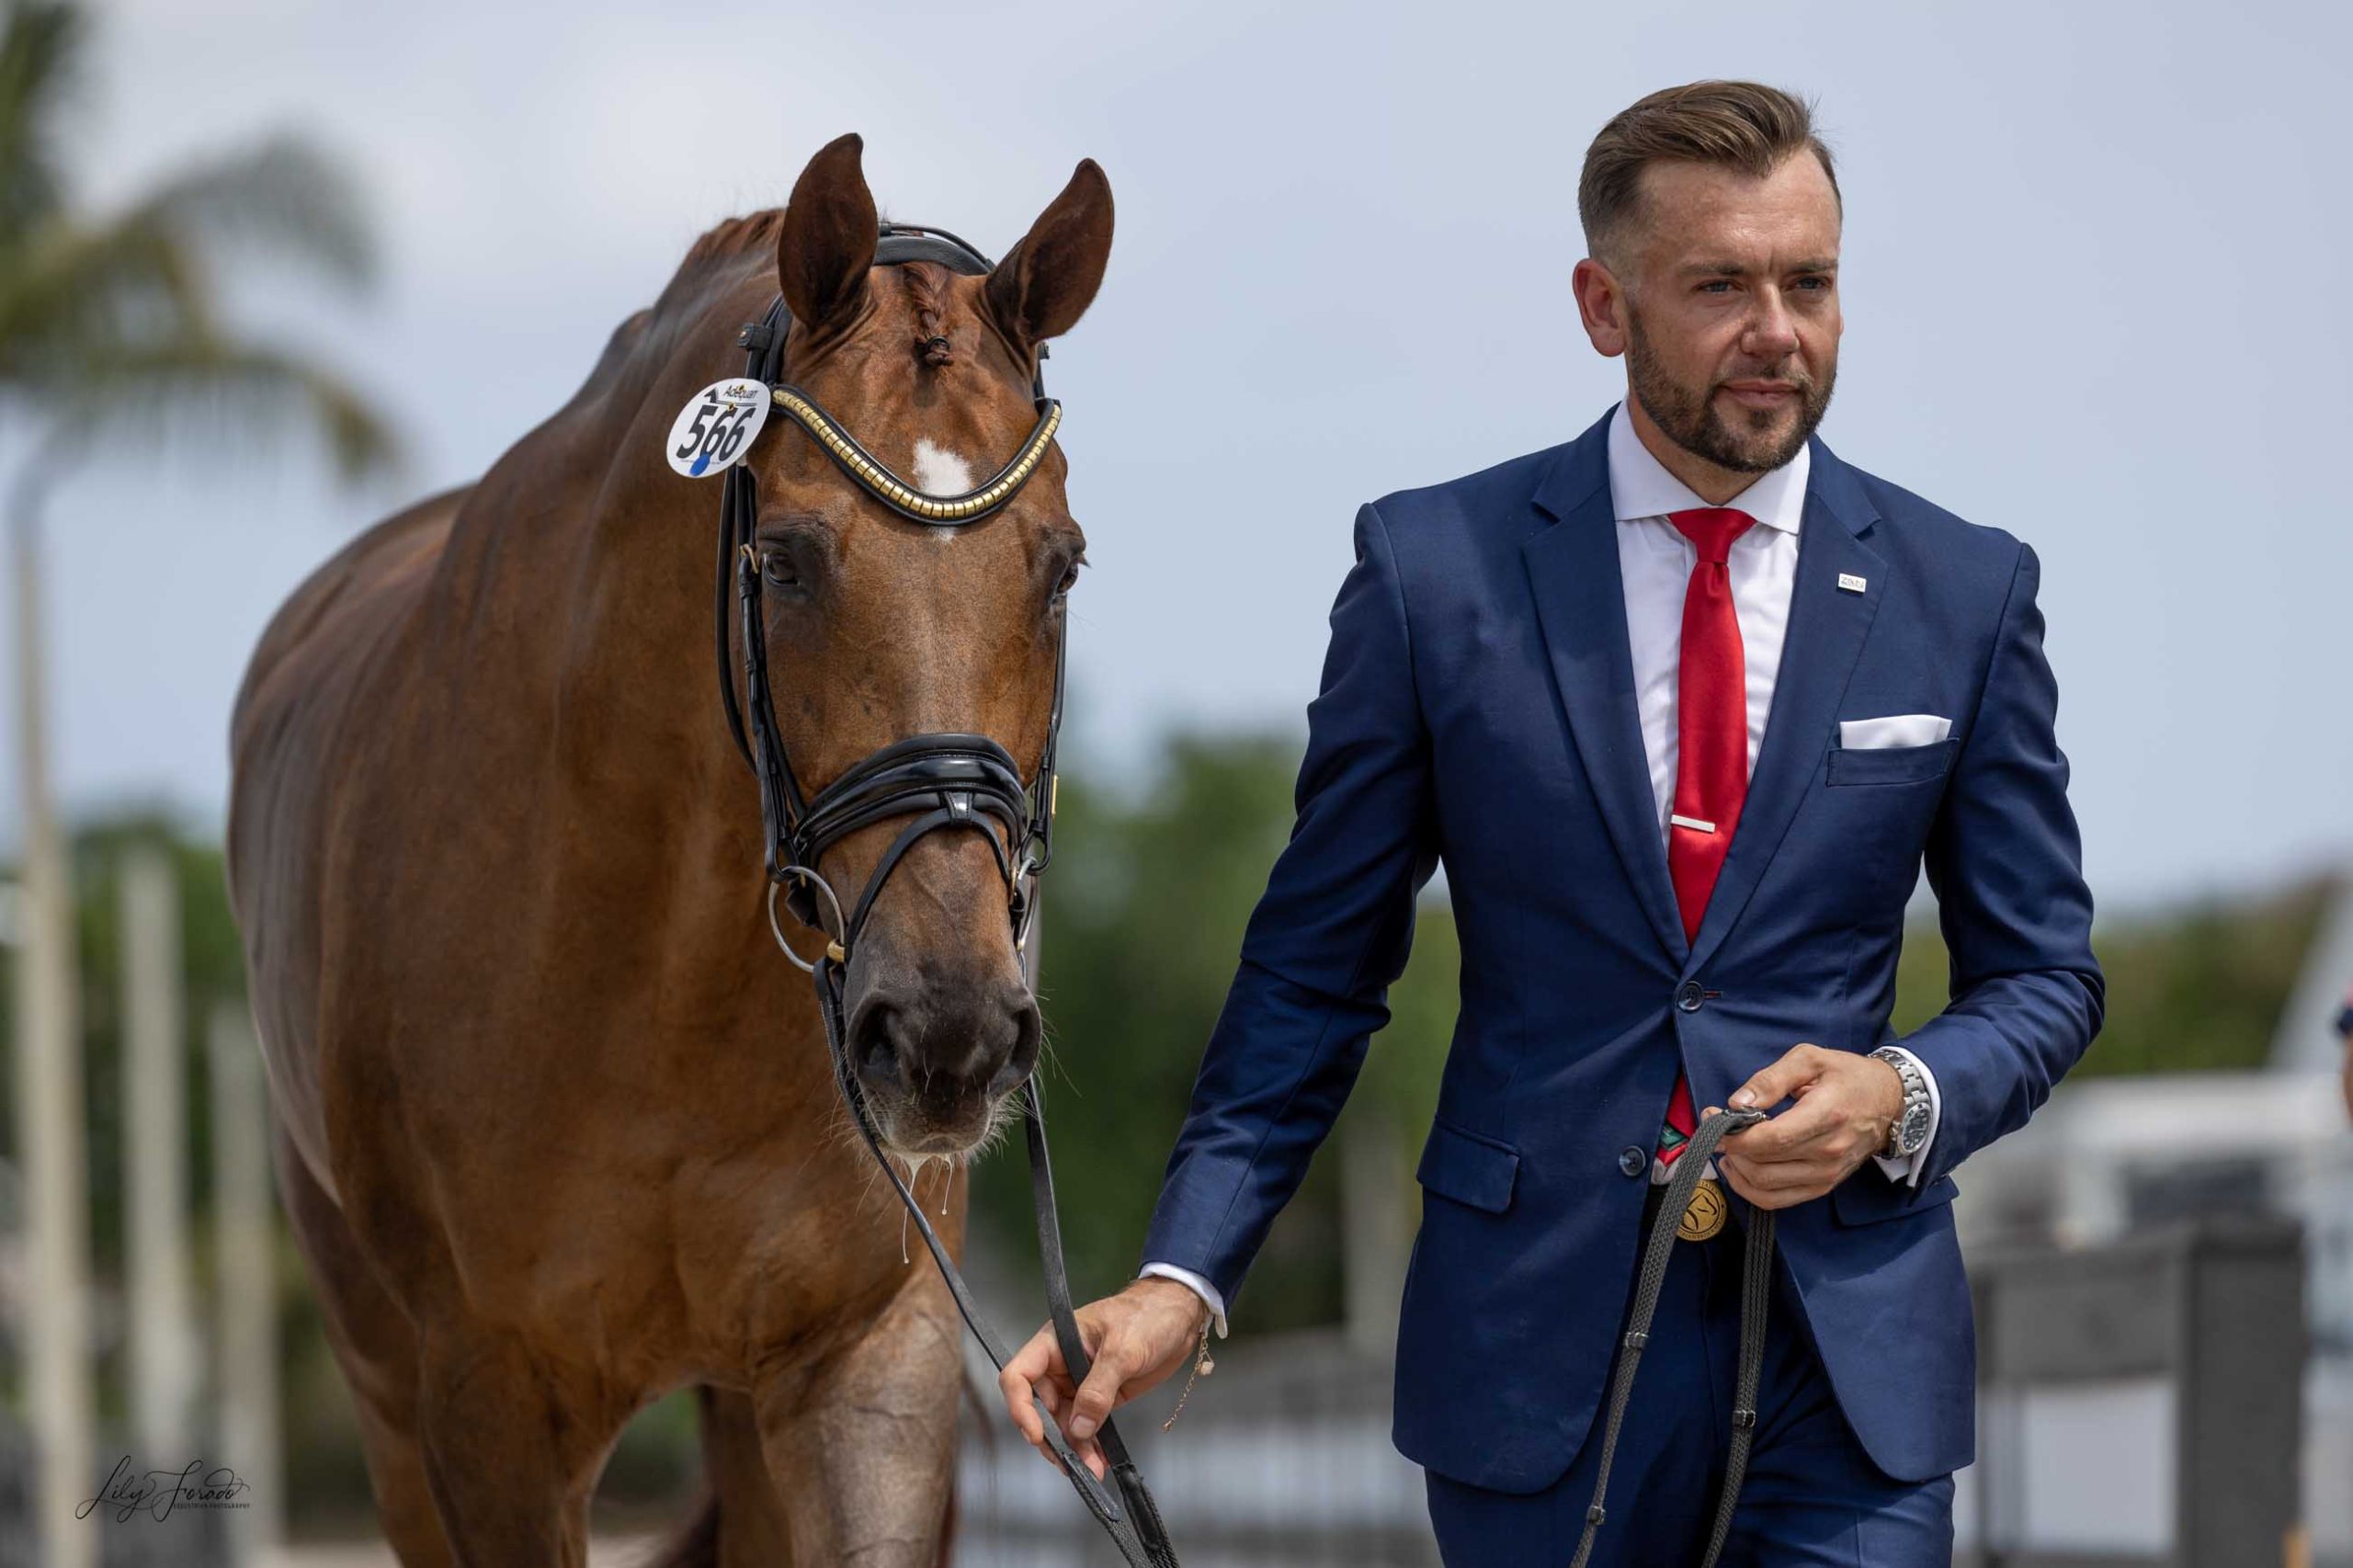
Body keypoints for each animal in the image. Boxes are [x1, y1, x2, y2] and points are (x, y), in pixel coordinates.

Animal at [227, 137, 1120, 1562]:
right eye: (786, 559)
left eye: (1062, 568)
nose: (949, 1037)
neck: (660, 971)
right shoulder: (489, 1407)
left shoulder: (868, 1358)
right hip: (388, 1402)